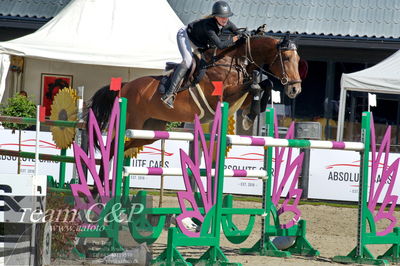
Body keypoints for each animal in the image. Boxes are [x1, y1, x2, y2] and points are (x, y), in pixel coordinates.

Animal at [89, 32, 302, 152]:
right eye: (287, 58)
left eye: (299, 60)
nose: (295, 89)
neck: (233, 61)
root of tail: (125, 86)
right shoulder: (221, 96)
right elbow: (256, 85)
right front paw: (249, 117)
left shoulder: (241, 97)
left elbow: (265, 85)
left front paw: (251, 115)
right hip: (131, 123)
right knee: (112, 149)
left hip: (149, 130)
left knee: (122, 148)